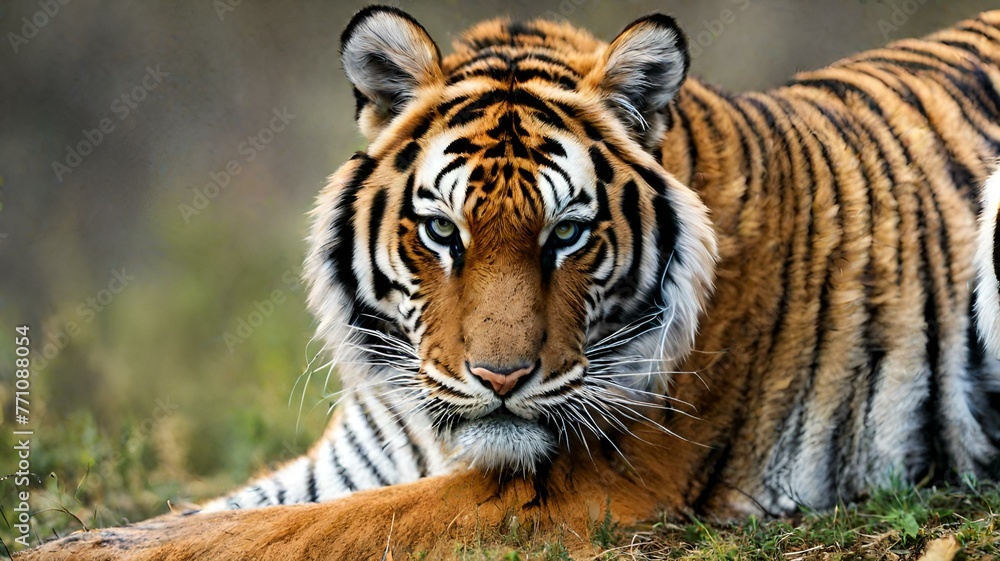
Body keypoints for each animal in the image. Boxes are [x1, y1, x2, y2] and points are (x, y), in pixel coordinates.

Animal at [20, 6, 1000, 560]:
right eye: (441, 231)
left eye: (567, 233)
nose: (500, 379)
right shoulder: (350, 458)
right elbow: (204, 513)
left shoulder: (582, 483)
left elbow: (284, 530)